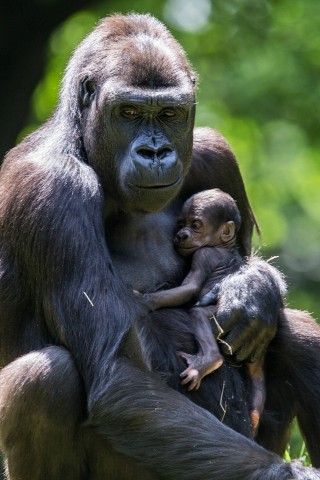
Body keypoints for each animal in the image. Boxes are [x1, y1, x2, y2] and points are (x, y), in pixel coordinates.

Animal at [142, 189, 264, 434]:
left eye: (196, 225)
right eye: (181, 223)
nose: (182, 235)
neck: (224, 246)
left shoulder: (204, 255)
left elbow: (191, 288)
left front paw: (143, 300)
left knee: (198, 316)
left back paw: (209, 361)